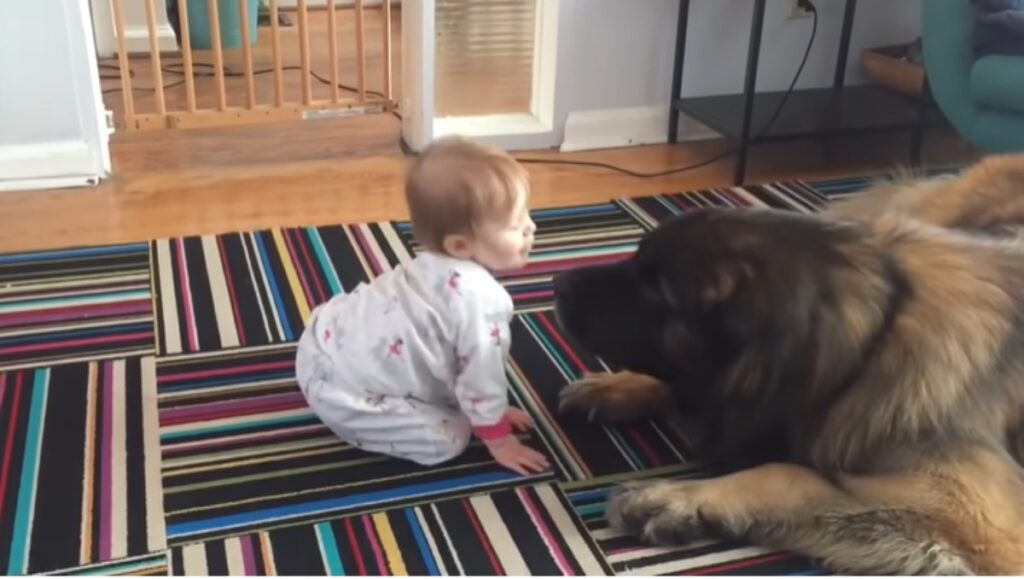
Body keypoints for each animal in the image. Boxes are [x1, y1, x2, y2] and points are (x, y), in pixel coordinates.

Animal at [557, 154, 1024, 573]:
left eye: (657, 290)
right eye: (637, 261)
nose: (559, 283)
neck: (875, 335)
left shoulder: (980, 518)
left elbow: (785, 474)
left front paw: (679, 499)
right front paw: (620, 389)